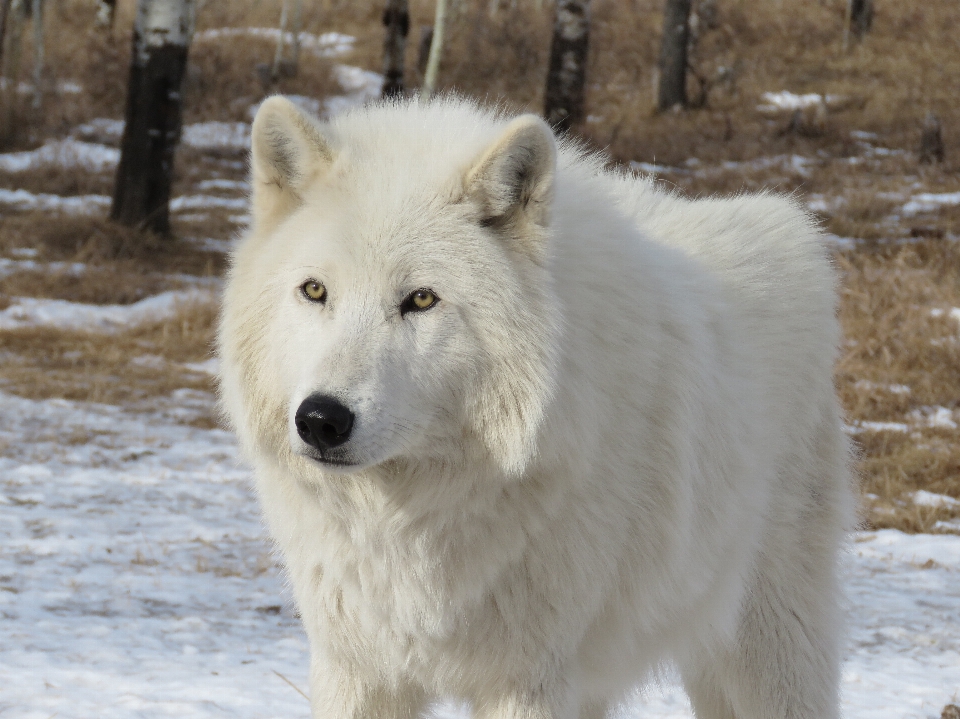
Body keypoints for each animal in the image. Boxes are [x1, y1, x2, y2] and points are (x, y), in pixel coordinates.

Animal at [219, 97, 856, 719]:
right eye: (315, 291)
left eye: (420, 299)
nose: (320, 420)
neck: (412, 521)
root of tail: (789, 224)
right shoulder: (356, 668)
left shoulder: (528, 679)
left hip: (768, 649)